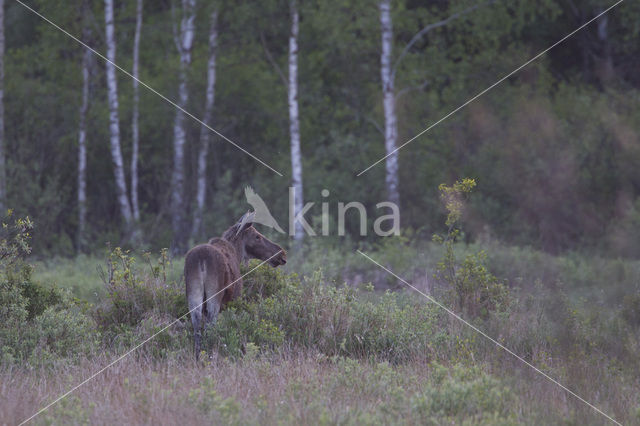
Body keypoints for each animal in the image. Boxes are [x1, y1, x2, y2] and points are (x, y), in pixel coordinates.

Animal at [184, 212, 286, 356]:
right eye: (257, 236)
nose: (281, 254)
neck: (238, 253)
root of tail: (201, 259)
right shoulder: (234, 300)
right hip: (214, 296)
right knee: (210, 325)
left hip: (193, 294)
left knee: (197, 326)